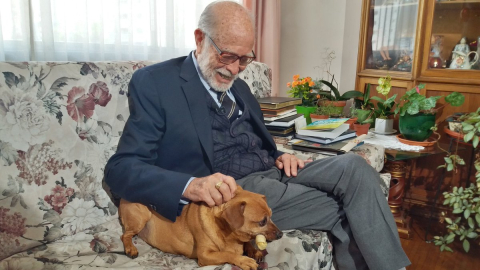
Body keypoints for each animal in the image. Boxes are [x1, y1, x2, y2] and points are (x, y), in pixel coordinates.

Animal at [119, 186, 284, 270]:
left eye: (271, 215)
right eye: (262, 221)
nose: (281, 234)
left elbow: (247, 242)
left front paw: (254, 250)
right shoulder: (205, 255)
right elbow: (227, 254)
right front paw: (244, 260)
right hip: (140, 217)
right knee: (125, 235)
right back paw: (130, 248)